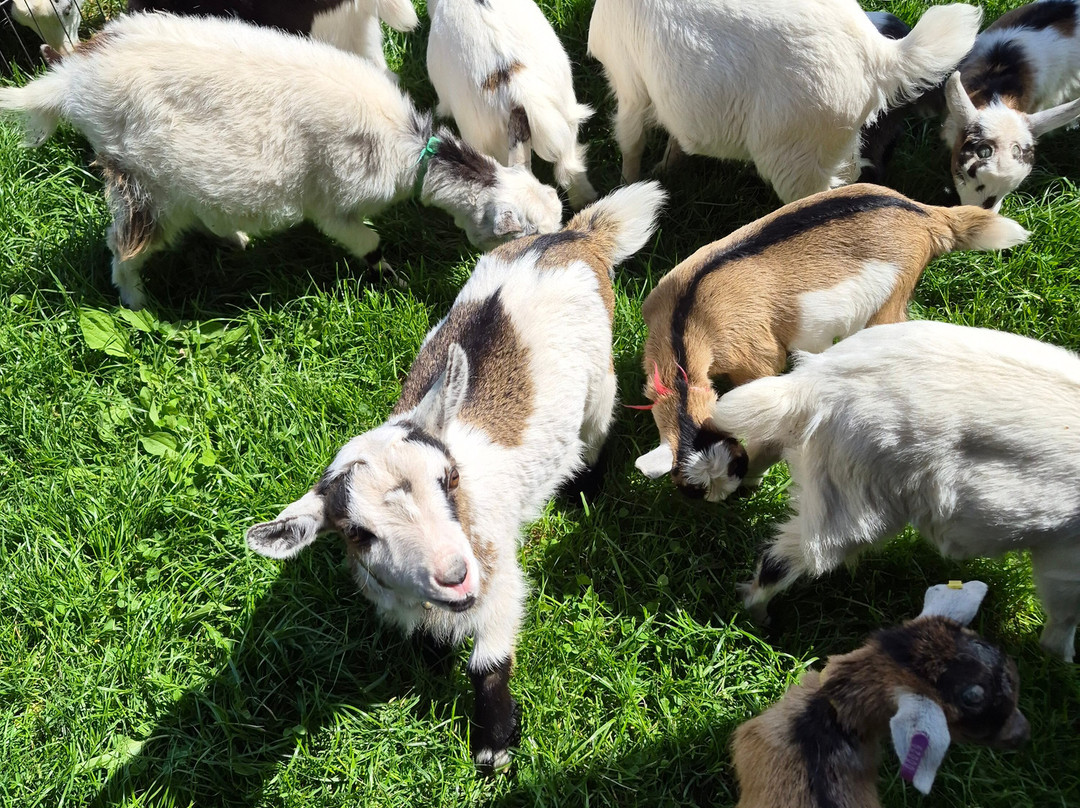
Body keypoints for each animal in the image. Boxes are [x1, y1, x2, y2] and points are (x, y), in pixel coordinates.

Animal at [0, 12, 562, 309]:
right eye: (524, 234)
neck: (409, 149)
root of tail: (71, 82)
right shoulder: (333, 205)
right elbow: (368, 242)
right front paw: (394, 279)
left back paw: (233, 238)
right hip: (141, 181)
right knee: (125, 245)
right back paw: (137, 302)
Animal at [245, 181, 667, 769]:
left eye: (449, 479)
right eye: (357, 532)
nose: (453, 574)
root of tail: (574, 236)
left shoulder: (501, 574)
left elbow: (488, 661)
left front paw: (493, 745)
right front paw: (432, 665)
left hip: (600, 378)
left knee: (598, 427)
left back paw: (585, 490)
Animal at [587, 0, 981, 203]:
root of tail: (882, 55)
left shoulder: (629, 82)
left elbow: (631, 140)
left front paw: (626, 185)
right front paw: (665, 169)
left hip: (796, 156)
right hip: (832, 143)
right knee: (851, 172)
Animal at [633, 184, 1028, 501]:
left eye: (739, 465)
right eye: (692, 490)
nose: (726, 501)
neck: (686, 320)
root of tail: (927, 216)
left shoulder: (758, 358)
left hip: (892, 296)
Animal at [711, 320, 1080, 662]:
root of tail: (817, 382)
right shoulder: (1062, 557)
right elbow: (1063, 618)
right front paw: (1058, 662)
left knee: (759, 453)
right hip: (853, 503)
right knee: (785, 559)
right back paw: (758, 617)